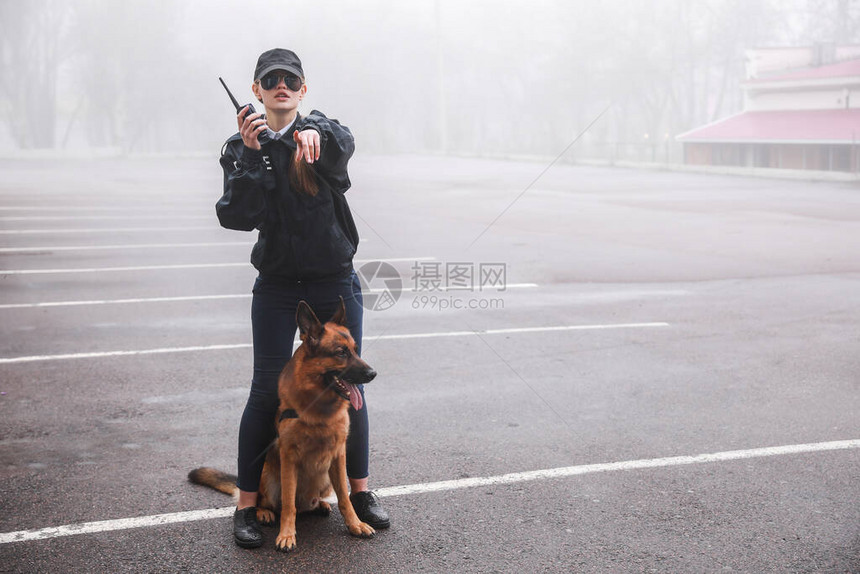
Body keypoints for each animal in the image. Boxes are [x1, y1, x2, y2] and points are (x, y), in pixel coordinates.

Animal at [188, 300, 376, 552]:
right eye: (341, 353)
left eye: (356, 349)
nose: (373, 373)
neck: (319, 408)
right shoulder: (289, 458)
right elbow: (288, 503)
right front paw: (286, 534)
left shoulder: (338, 457)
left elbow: (345, 498)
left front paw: (355, 524)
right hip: (266, 475)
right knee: (267, 501)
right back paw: (263, 513)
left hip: (326, 478)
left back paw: (320, 505)